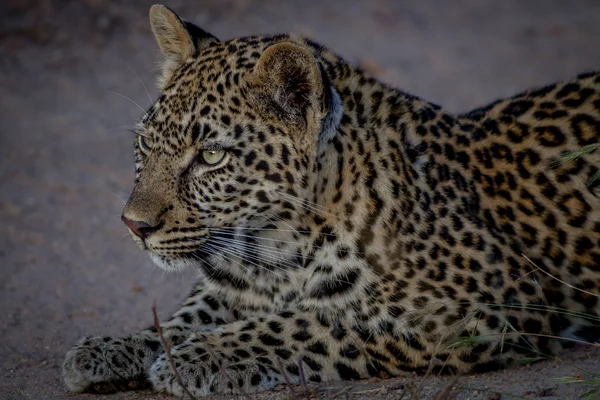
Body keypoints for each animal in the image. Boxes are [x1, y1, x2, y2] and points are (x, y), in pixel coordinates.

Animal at [62, 3, 600, 396]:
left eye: (211, 156)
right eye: (146, 145)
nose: (134, 226)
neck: (275, 249)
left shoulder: (478, 306)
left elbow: (316, 322)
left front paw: (198, 357)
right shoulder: (235, 286)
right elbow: (179, 320)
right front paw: (111, 348)